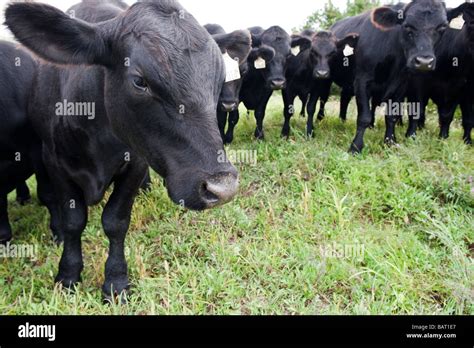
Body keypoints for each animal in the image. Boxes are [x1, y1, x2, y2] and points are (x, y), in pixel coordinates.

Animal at [5, 0, 239, 300]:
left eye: (219, 80)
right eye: (140, 81)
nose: (222, 187)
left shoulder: (137, 161)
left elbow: (116, 221)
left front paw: (115, 281)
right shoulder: (53, 160)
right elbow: (72, 221)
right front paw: (68, 274)